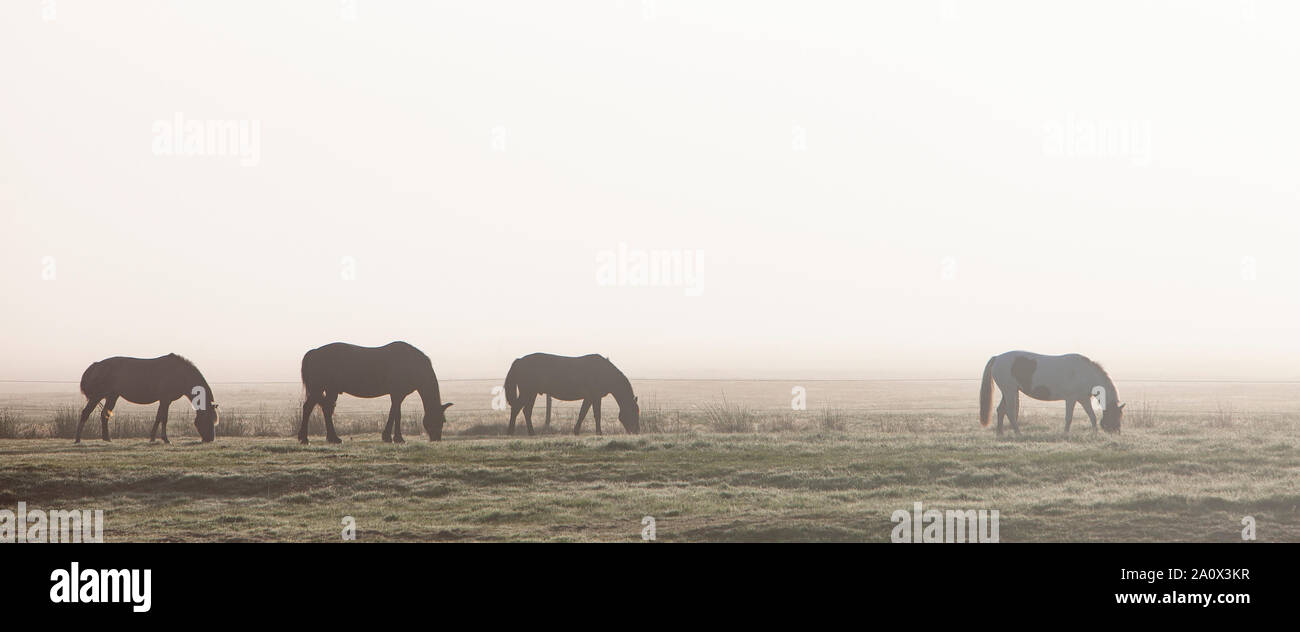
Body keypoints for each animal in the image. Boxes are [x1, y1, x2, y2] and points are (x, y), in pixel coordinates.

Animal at [77, 356, 219, 444]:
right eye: (208, 419)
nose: (210, 439)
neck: (181, 374)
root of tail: (96, 366)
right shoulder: (165, 400)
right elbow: (163, 418)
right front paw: (165, 439)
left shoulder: (164, 401)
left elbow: (158, 417)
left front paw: (152, 438)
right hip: (97, 396)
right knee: (86, 413)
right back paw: (77, 440)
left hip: (112, 396)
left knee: (104, 415)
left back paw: (107, 438)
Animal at [297, 340, 452, 444]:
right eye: (440, 420)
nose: (437, 439)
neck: (412, 364)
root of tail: (315, 351)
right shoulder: (397, 394)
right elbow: (395, 414)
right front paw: (393, 437)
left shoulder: (397, 395)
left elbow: (395, 413)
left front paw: (393, 437)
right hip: (319, 388)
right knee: (309, 408)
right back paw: (305, 438)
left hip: (330, 390)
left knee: (326, 409)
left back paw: (333, 438)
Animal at [499, 353, 637, 436]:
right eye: (634, 412)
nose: (636, 431)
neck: (604, 372)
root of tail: (519, 361)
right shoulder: (594, 397)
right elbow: (596, 415)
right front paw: (599, 432)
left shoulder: (590, 398)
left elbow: (583, 414)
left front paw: (576, 431)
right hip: (527, 392)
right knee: (516, 408)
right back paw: (510, 431)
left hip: (531, 394)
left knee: (526, 411)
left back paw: (531, 432)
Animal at [977, 351, 1123, 434]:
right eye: (1116, 415)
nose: (1116, 431)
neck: (1086, 373)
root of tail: (997, 358)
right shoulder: (1071, 399)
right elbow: (1069, 418)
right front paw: (1065, 434)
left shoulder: (1084, 399)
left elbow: (1092, 416)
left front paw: (1095, 433)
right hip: (1010, 391)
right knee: (1010, 412)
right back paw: (1018, 433)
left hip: (1009, 392)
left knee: (1001, 410)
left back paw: (1000, 432)